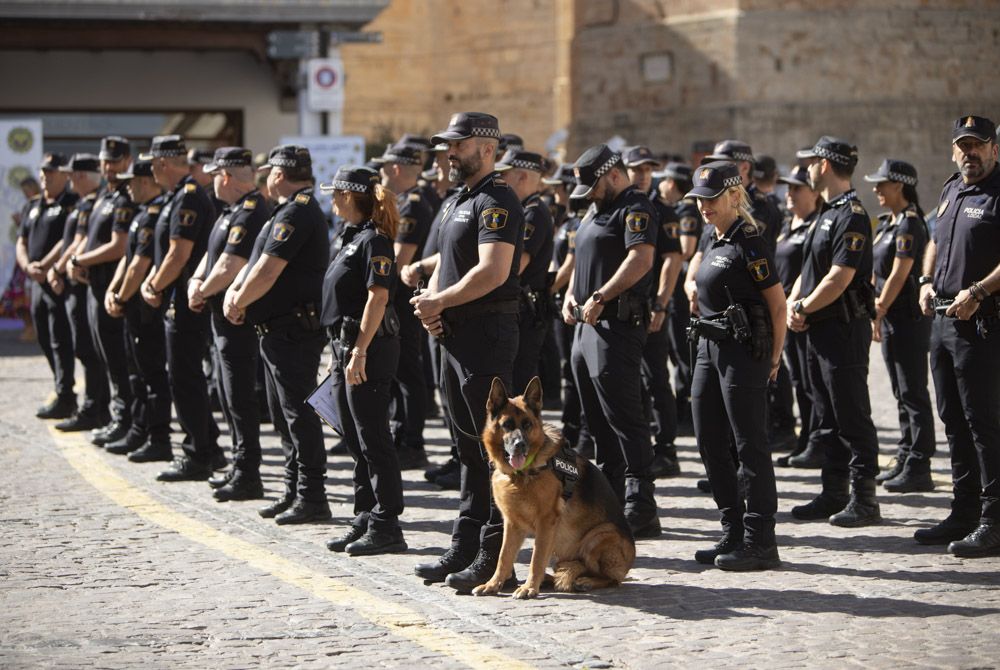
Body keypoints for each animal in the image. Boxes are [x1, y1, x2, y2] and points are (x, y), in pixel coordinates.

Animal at [472, 378, 636, 604]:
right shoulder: (512, 524)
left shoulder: (546, 522)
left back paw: (585, 581)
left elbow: (536, 558)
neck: (522, 473)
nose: (520, 445)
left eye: (527, 424)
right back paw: (551, 579)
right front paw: (493, 584)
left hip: (599, 535)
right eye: (507, 425)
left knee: (611, 579)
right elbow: (503, 557)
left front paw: (529, 588)